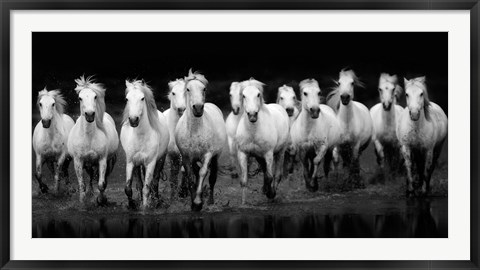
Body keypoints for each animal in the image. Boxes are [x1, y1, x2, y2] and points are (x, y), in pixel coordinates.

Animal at [67, 75, 119, 206]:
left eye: (95, 96)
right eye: (80, 98)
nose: (90, 115)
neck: (89, 137)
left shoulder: (102, 160)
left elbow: (101, 184)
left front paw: (101, 200)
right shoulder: (78, 161)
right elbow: (82, 185)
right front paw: (82, 203)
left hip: (109, 161)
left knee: (103, 180)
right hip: (88, 164)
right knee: (90, 178)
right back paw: (90, 194)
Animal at [121, 79, 170, 208]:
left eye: (142, 98)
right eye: (127, 99)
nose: (133, 120)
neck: (141, 137)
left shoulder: (151, 163)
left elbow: (147, 188)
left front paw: (145, 207)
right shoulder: (130, 162)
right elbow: (128, 188)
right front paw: (132, 204)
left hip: (160, 159)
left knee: (155, 182)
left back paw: (156, 200)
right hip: (138, 165)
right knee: (139, 183)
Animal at [174, 69, 227, 211]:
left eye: (204, 89)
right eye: (188, 89)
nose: (198, 108)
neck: (195, 130)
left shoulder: (208, 154)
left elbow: (203, 173)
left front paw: (198, 202)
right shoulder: (186, 156)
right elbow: (190, 176)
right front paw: (194, 203)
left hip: (215, 157)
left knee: (212, 177)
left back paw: (210, 201)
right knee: (196, 173)